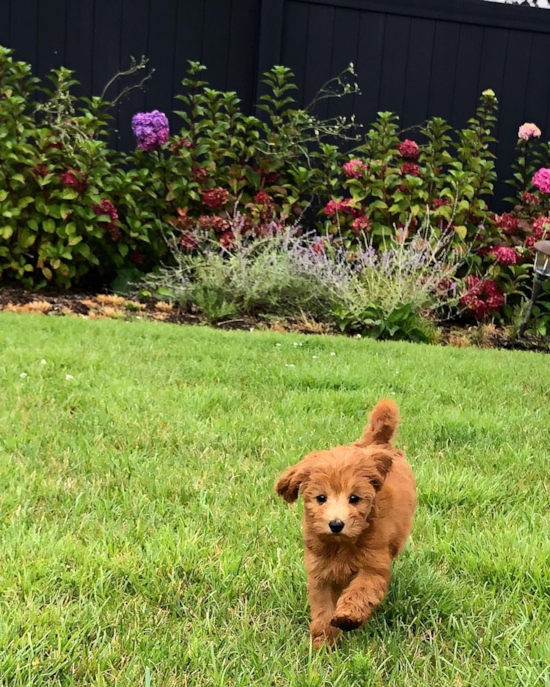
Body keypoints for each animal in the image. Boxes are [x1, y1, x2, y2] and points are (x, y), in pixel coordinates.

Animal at [276, 400, 418, 648]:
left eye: (354, 498)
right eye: (321, 498)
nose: (336, 524)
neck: (341, 545)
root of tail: (377, 443)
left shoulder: (373, 567)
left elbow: (360, 591)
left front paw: (347, 617)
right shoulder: (320, 573)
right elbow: (323, 608)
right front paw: (323, 641)